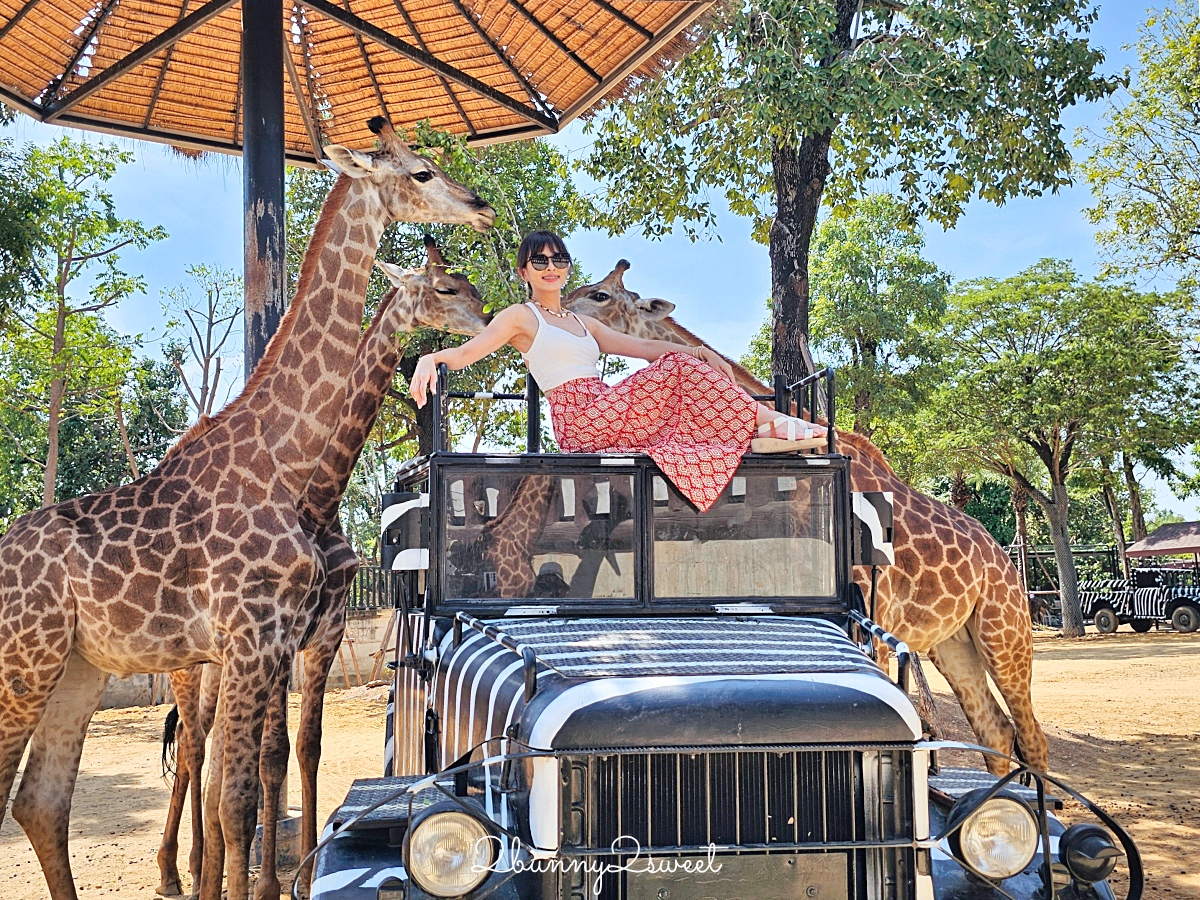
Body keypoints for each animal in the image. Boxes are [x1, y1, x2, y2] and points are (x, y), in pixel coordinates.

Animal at [158, 241, 487, 900]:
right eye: (445, 288)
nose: (488, 316)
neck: (319, 499)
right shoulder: (276, 640)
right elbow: (269, 755)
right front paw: (264, 882)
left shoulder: (324, 634)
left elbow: (303, 748)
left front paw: (301, 872)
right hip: (187, 661)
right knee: (193, 746)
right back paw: (179, 872)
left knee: (202, 744)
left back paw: (197, 868)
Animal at [566, 259, 1046, 777]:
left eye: (598, 295)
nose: (553, 308)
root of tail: (1004, 559)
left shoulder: (873, 617)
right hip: (954, 641)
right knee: (996, 729)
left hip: (1004, 629)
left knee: (1030, 734)